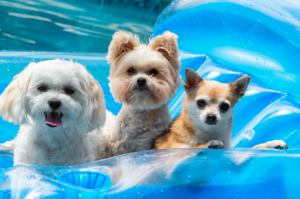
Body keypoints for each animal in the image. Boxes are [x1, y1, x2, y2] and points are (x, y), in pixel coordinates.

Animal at [155, 68, 288, 149]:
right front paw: (210, 143)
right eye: (201, 102)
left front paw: (272, 143)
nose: (211, 116)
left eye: (225, 106)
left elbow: (254, 147)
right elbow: (193, 147)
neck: (209, 132)